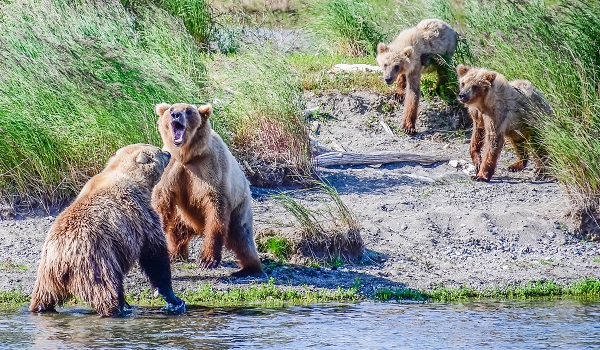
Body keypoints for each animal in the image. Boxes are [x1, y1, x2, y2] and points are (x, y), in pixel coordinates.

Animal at [27, 144, 185, 316]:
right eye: (158, 150)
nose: (168, 153)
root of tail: (61, 257)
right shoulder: (141, 214)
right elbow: (154, 254)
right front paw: (175, 299)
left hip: (47, 273)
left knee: (44, 294)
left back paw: (39, 307)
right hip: (96, 260)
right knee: (106, 287)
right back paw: (119, 308)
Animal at [151, 102, 262, 278]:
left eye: (188, 111)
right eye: (171, 109)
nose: (176, 114)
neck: (187, 156)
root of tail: (198, 227)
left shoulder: (210, 169)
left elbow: (216, 207)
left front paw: (207, 260)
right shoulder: (171, 169)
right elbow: (162, 202)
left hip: (240, 208)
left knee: (242, 237)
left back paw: (249, 268)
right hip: (184, 217)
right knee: (177, 230)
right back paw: (175, 253)